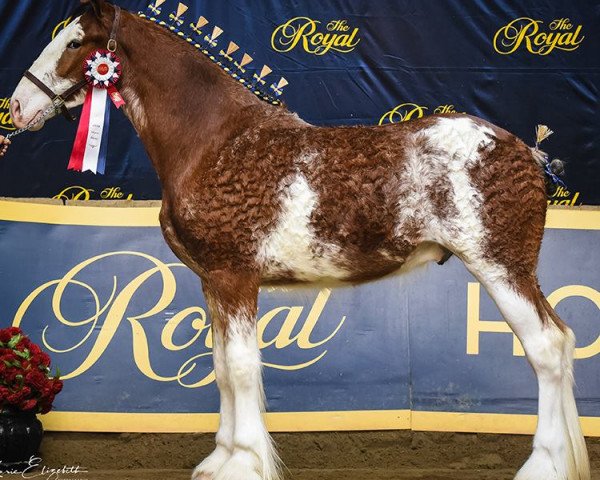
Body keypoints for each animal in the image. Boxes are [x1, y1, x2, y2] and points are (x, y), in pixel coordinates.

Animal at [9, 0, 592, 480]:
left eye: (75, 43)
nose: (15, 107)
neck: (213, 142)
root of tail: (527, 152)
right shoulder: (212, 283)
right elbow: (221, 368)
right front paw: (219, 460)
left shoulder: (235, 278)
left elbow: (242, 368)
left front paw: (244, 464)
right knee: (563, 341)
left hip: (500, 267)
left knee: (545, 348)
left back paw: (543, 466)